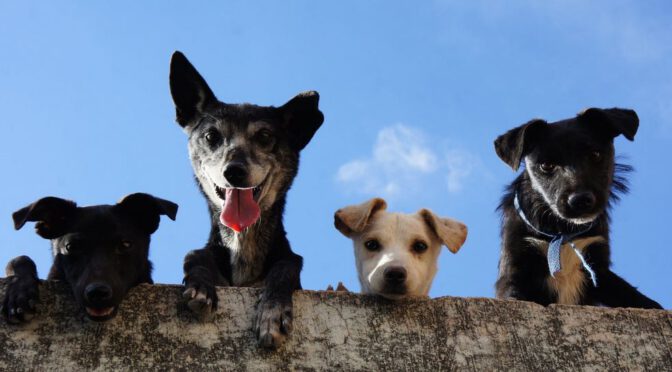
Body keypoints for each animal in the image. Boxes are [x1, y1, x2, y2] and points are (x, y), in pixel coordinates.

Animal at [169, 50, 324, 348]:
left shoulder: (287, 264)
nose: (234, 171)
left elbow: (286, 266)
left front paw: (272, 313)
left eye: (264, 136)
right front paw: (200, 287)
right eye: (211, 136)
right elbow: (194, 254)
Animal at [494, 107, 660, 308]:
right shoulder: (515, 267)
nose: (580, 200)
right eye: (546, 165)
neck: (562, 233)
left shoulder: (598, 268)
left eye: (595, 155)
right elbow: (514, 295)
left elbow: (637, 298)